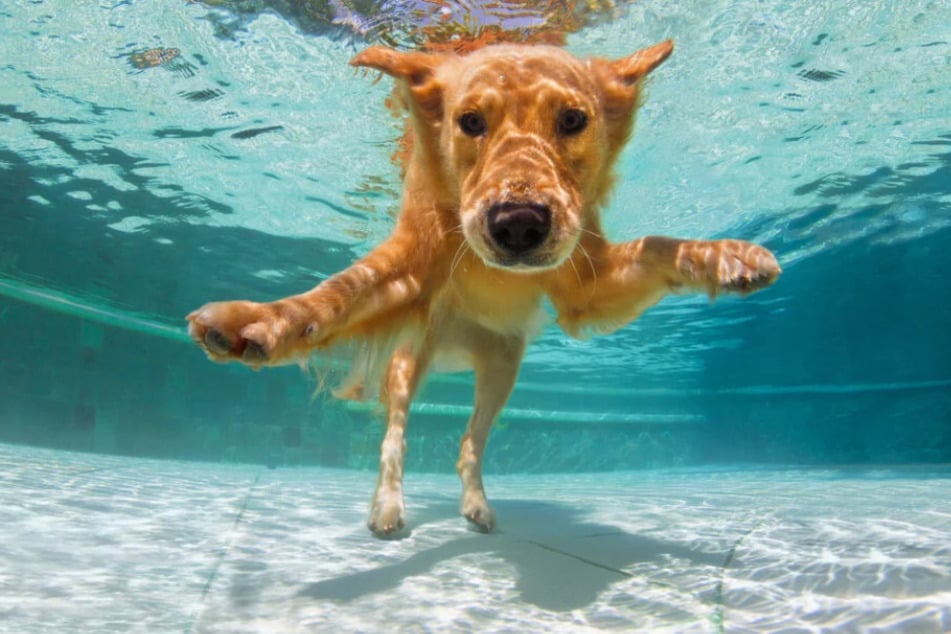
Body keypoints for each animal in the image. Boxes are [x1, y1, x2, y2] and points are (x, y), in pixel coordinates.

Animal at [186, 40, 780, 532]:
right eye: (469, 121)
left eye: (573, 119)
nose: (518, 223)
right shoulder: (408, 268)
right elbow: (337, 294)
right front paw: (257, 321)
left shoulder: (585, 285)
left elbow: (656, 245)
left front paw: (726, 256)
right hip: (409, 360)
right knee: (394, 435)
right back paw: (388, 506)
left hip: (502, 368)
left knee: (469, 443)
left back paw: (476, 505)